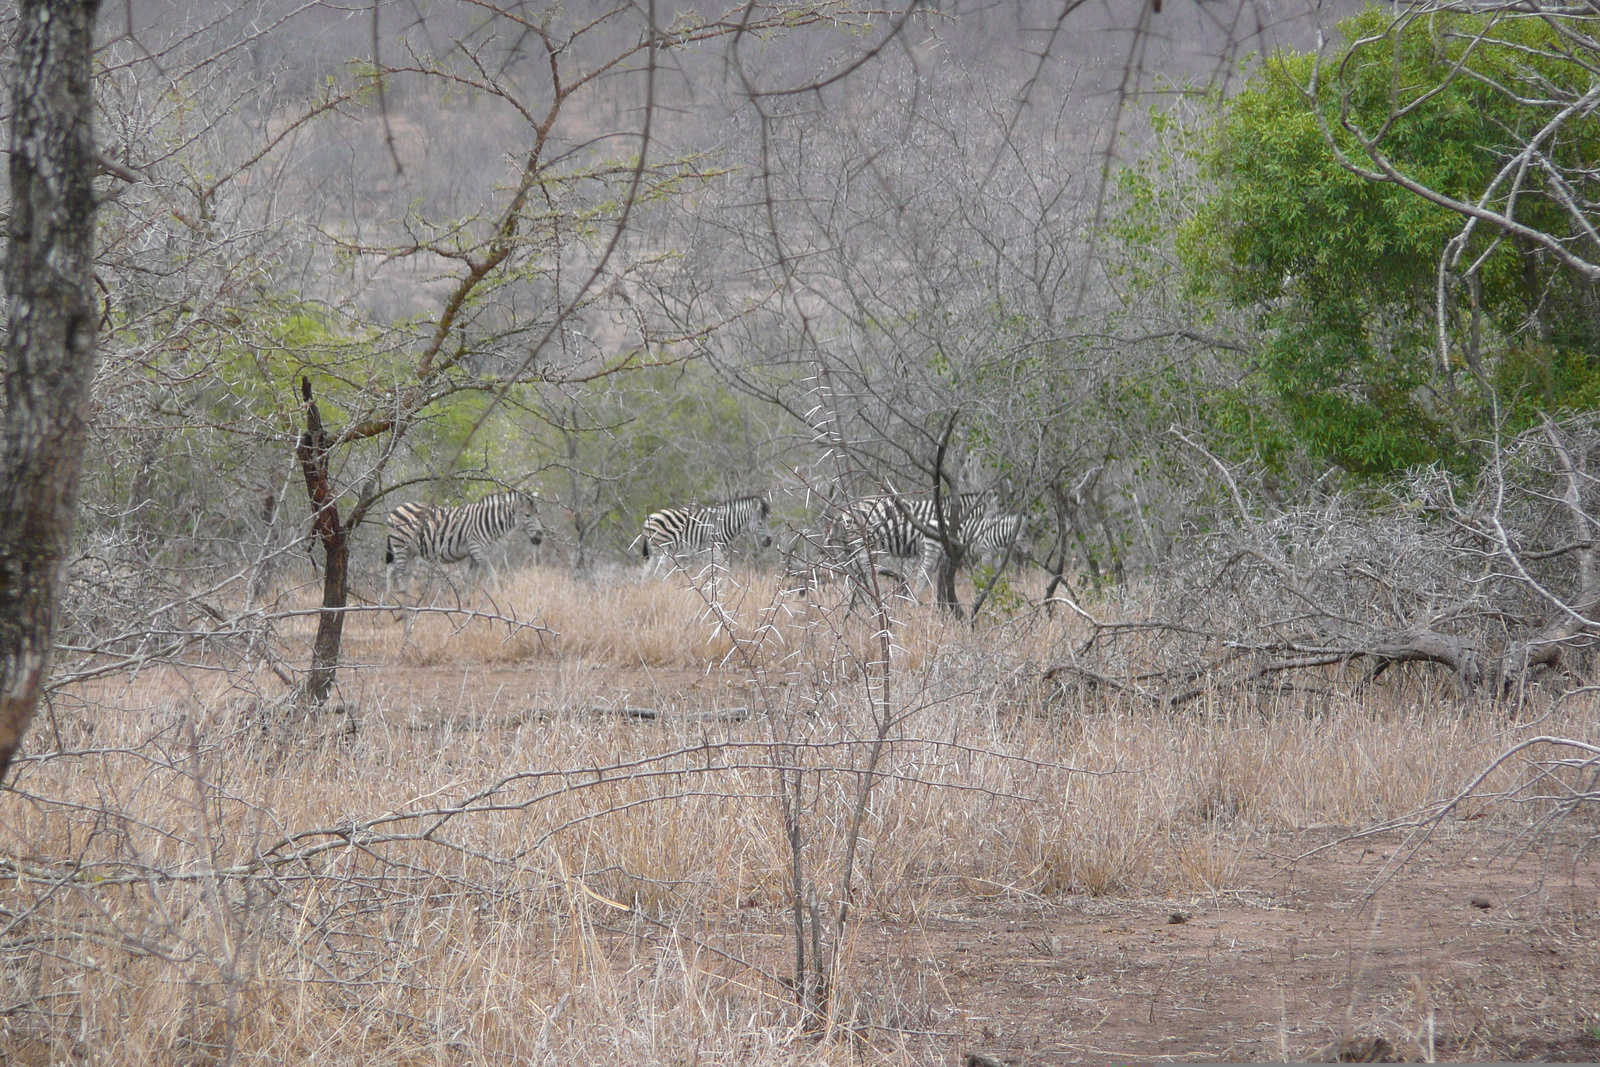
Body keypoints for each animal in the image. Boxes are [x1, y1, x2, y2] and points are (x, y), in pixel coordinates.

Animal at [382, 492, 544, 601]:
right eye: (528, 515)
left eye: (538, 514)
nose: (540, 537)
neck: (488, 521)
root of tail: (396, 509)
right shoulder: (477, 549)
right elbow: (492, 574)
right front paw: (499, 596)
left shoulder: (474, 554)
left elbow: (470, 578)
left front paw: (466, 601)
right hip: (401, 545)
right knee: (399, 572)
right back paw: (402, 599)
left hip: (411, 551)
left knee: (394, 569)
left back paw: (392, 598)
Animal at [643, 499, 774, 579]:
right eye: (760, 523)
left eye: (768, 520)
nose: (769, 541)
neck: (726, 523)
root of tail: (649, 518)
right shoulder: (714, 548)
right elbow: (723, 569)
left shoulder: (719, 550)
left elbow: (717, 568)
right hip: (661, 548)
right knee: (660, 571)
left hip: (655, 550)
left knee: (645, 571)